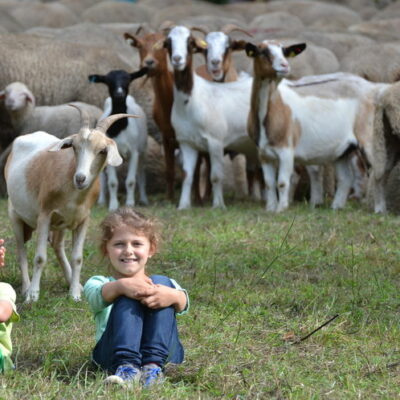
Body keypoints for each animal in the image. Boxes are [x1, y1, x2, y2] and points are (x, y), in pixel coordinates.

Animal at [4, 106, 134, 304]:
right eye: (74, 146)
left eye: (102, 150)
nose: (80, 178)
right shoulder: (45, 215)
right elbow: (39, 257)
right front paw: (33, 295)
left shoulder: (82, 220)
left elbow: (77, 258)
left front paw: (75, 294)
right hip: (15, 216)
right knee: (21, 253)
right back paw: (26, 288)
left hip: (61, 224)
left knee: (57, 246)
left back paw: (75, 283)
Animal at [88, 68, 149, 212]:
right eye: (108, 82)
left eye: (128, 80)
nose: (119, 94)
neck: (120, 127)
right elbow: (112, 182)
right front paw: (113, 205)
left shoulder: (134, 152)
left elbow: (131, 181)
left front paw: (130, 203)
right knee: (102, 177)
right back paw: (102, 200)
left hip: (142, 151)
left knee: (141, 173)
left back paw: (144, 199)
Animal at [244, 39, 388, 212]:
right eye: (263, 52)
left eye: (284, 51)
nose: (285, 66)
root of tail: (374, 88)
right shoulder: (263, 153)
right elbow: (269, 183)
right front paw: (270, 208)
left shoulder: (286, 150)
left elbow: (282, 182)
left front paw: (281, 209)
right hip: (343, 149)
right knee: (345, 178)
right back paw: (336, 207)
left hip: (370, 137)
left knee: (379, 172)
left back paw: (379, 209)